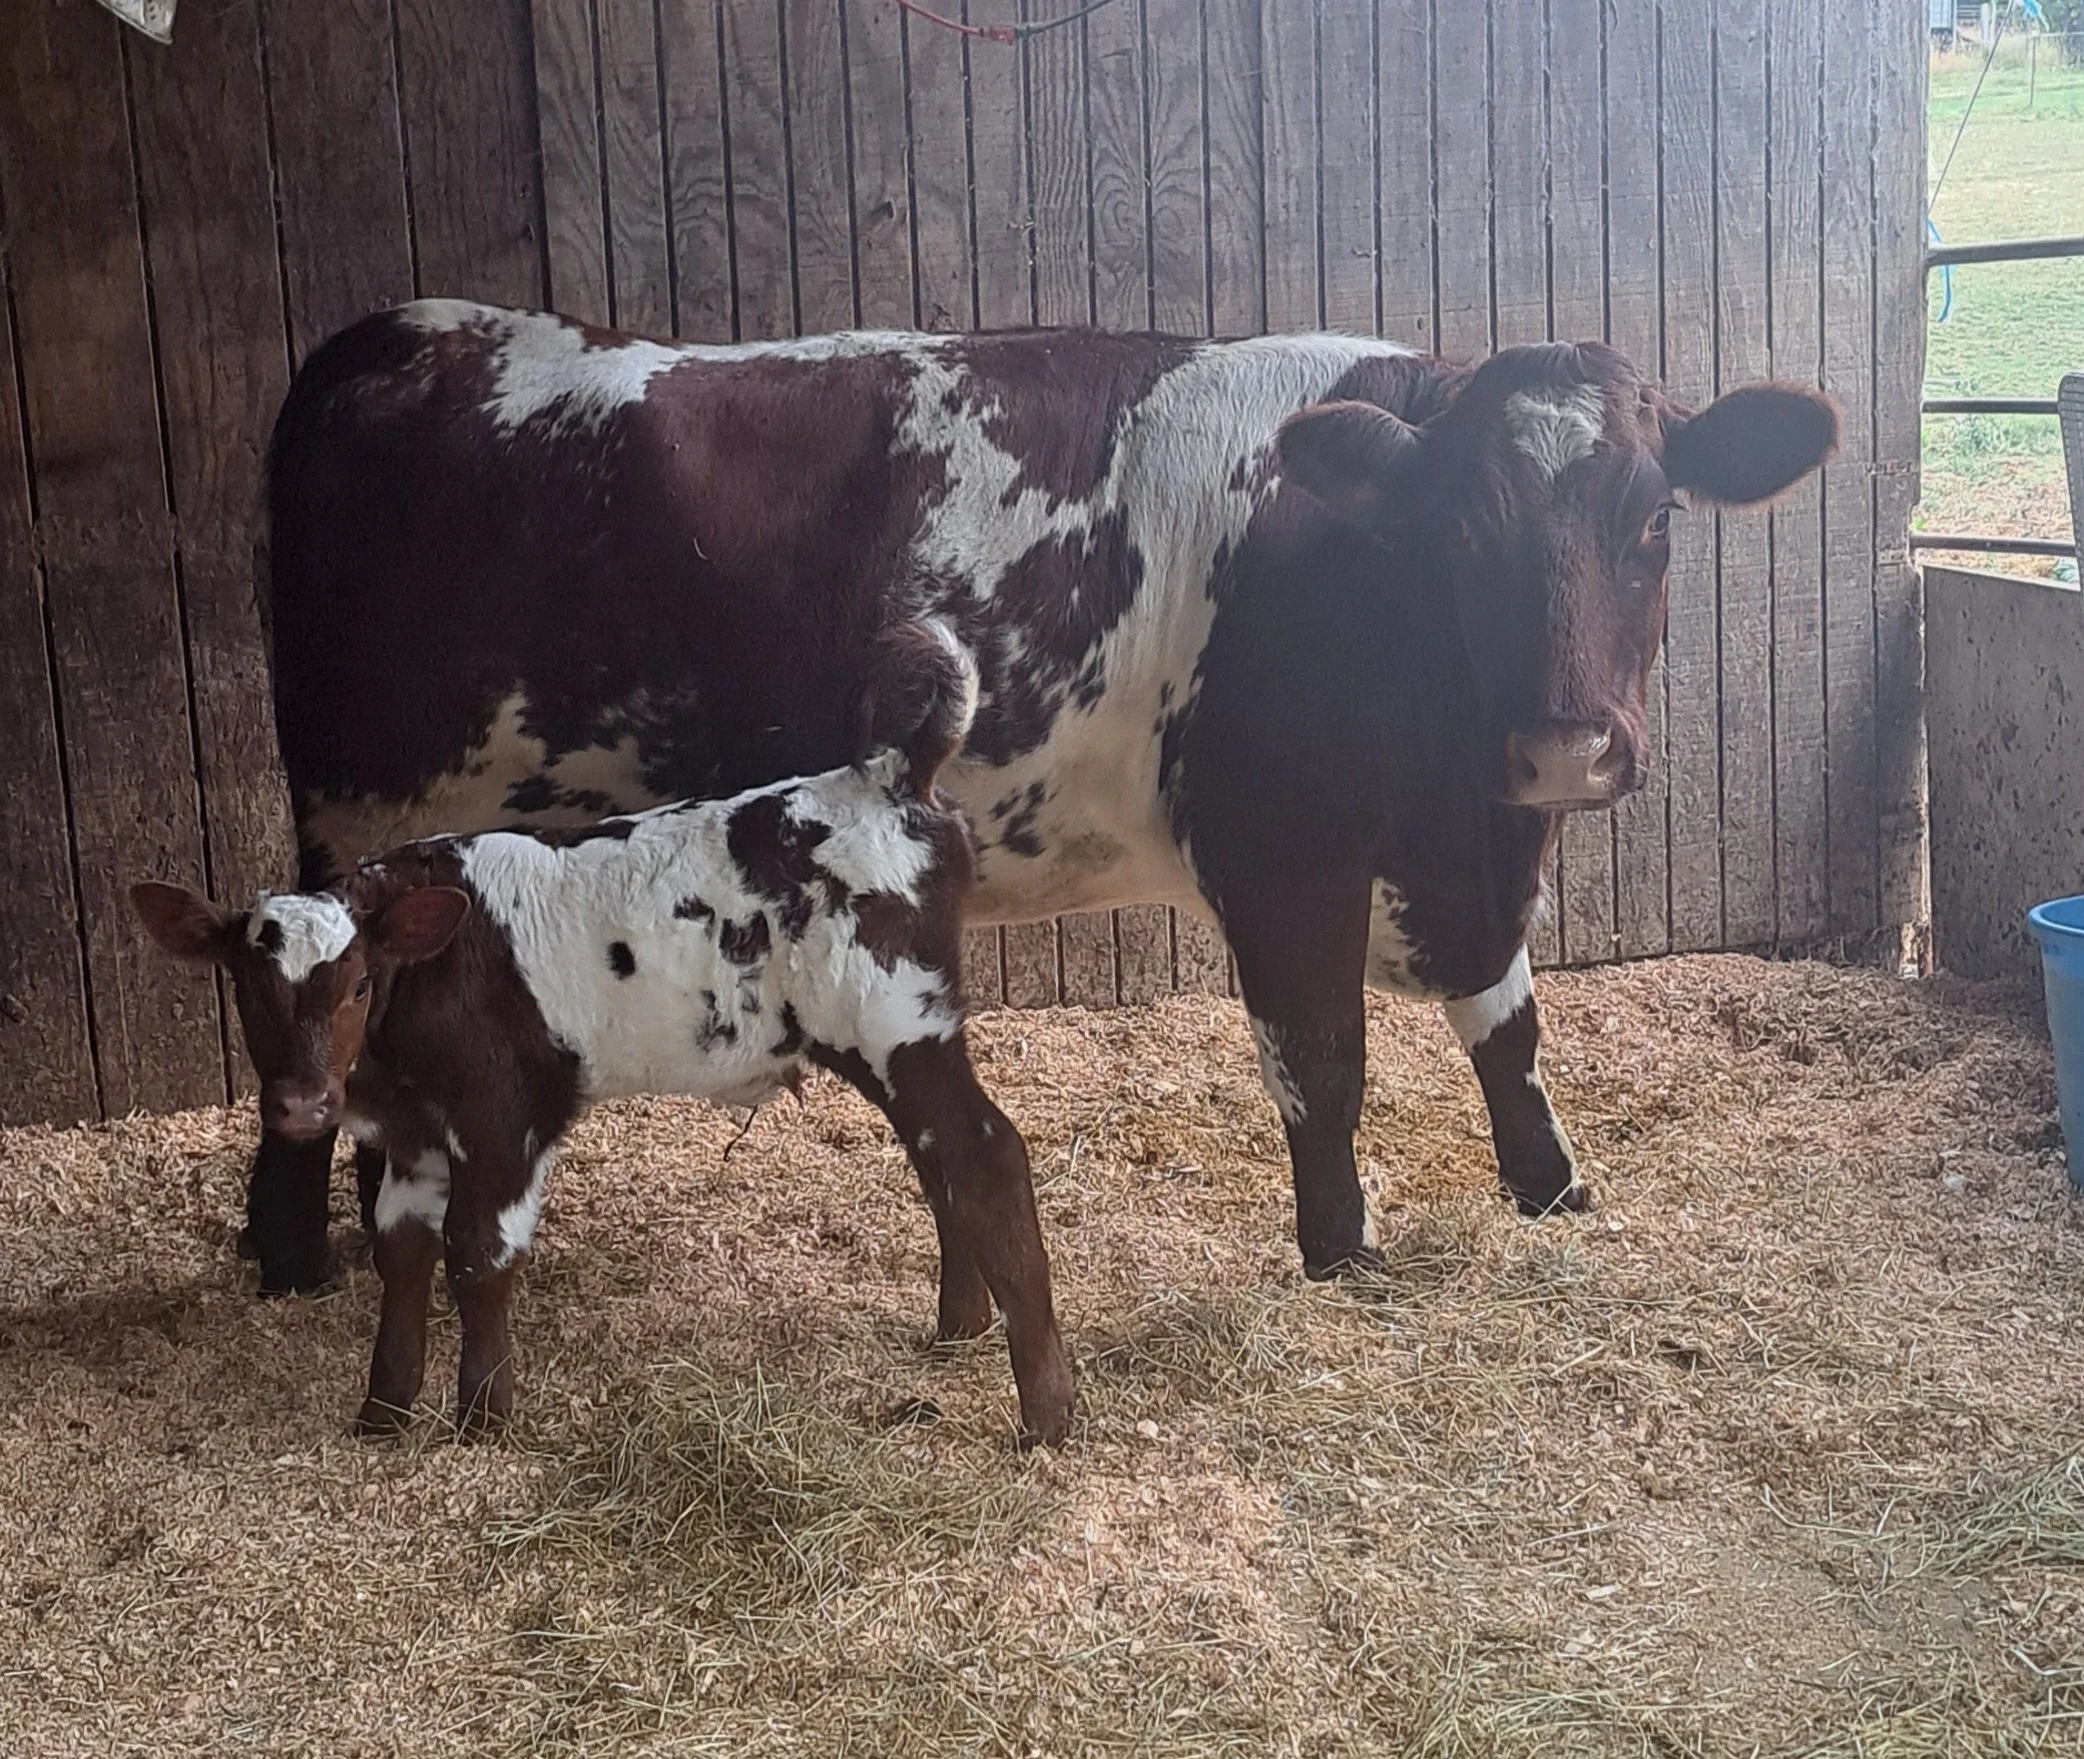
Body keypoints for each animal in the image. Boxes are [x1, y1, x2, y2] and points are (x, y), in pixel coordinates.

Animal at [132, 621, 1077, 1445]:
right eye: (244, 987)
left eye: (358, 982)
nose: (299, 1104)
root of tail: (886, 775)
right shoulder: (413, 1133)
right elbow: (401, 1252)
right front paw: (384, 1412)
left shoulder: (505, 1114)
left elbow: (477, 1253)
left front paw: (482, 1421)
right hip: (884, 1039)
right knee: (940, 1162)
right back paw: (959, 1331)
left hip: (900, 1022)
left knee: (987, 1157)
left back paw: (1046, 1415)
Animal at [240, 301, 1837, 1296]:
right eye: (1461, 533)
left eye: (1655, 519)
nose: (1565, 742)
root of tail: (410, 333)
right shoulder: (1277, 853)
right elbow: (1322, 1062)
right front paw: (1342, 1254)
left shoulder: (1465, 853)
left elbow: (1506, 1027)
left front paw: (1552, 1189)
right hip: (358, 818)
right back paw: (290, 1257)